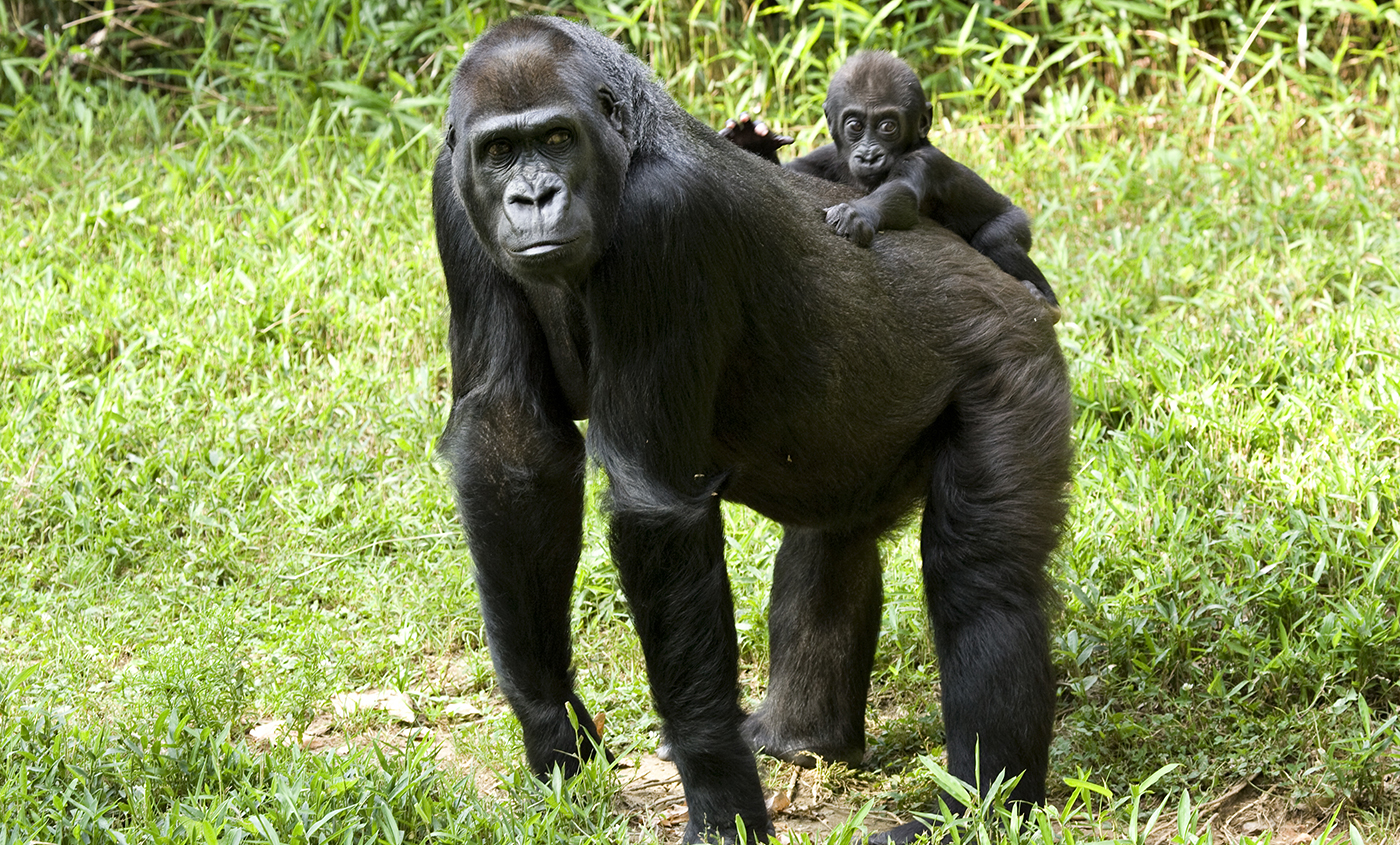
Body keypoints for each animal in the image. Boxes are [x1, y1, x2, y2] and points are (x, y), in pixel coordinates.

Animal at [728, 50, 1052, 306]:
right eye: (855, 125)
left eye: (887, 126)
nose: (870, 155)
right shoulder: (825, 157)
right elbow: (786, 174)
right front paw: (751, 140)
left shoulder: (925, 160)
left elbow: (902, 194)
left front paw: (856, 213)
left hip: (1017, 220)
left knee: (996, 238)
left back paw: (1045, 298)